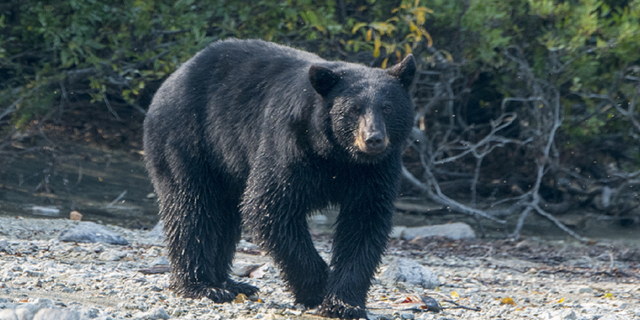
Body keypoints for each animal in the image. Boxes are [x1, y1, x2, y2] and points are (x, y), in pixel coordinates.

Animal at [144, 38, 416, 318]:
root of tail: (173, 77)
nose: (373, 139)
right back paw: (204, 286)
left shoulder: (375, 171)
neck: (337, 155)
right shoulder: (290, 145)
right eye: (354, 109)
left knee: (223, 215)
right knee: (193, 208)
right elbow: (271, 206)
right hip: (188, 139)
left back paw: (230, 283)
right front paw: (317, 288)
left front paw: (344, 303)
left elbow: (365, 222)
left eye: (388, 107)